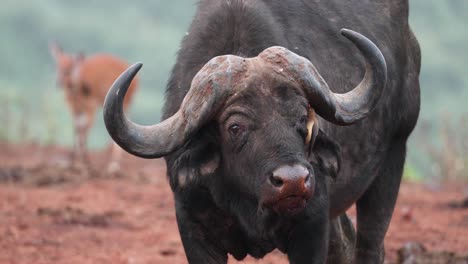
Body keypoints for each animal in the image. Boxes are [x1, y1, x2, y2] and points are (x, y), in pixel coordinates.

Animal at [49, 43, 138, 172]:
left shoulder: (91, 109)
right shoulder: (75, 110)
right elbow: (77, 129)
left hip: (124, 104)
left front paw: (86, 162)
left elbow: (84, 130)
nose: (59, 82)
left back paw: (114, 164)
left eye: (70, 68)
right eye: (58, 66)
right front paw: (73, 161)